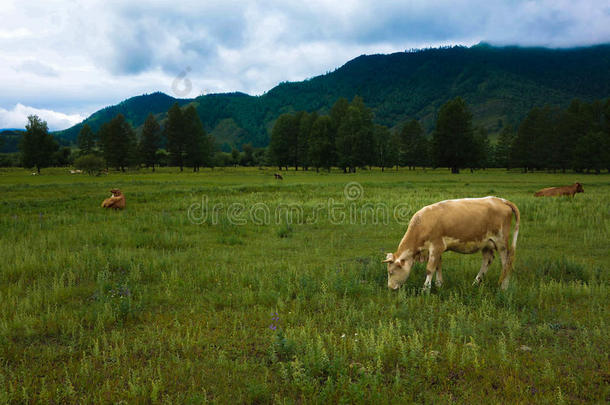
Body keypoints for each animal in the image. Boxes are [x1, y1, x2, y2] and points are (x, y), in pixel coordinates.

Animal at [380, 196, 516, 290]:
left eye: (390, 272)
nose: (390, 288)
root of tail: (500, 200)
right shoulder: (436, 250)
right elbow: (438, 266)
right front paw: (439, 284)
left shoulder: (436, 246)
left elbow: (430, 269)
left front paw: (425, 289)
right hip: (486, 243)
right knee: (487, 260)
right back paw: (475, 283)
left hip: (501, 242)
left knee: (506, 263)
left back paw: (503, 287)